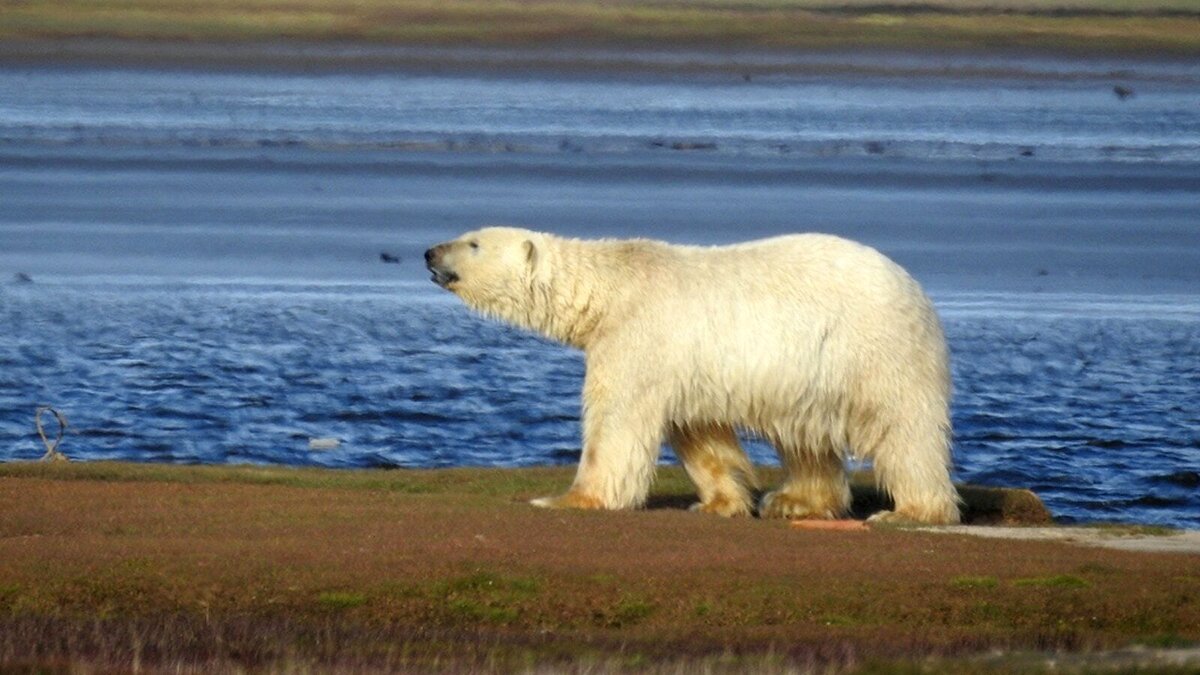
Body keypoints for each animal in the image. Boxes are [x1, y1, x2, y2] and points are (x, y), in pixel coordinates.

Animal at [427, 224, 960, 521]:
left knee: (902, 429)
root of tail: (916, 289)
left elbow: (615, 421)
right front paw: (719, 502)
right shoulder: (684, 366)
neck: (610, 289)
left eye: (473, 243)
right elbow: (700, 433)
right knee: (805, 436)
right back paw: (794, 501)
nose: (430, 252)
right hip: (810, 375)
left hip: (875, 350)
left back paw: (912, 510)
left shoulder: (638, 337)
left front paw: (568, 499)